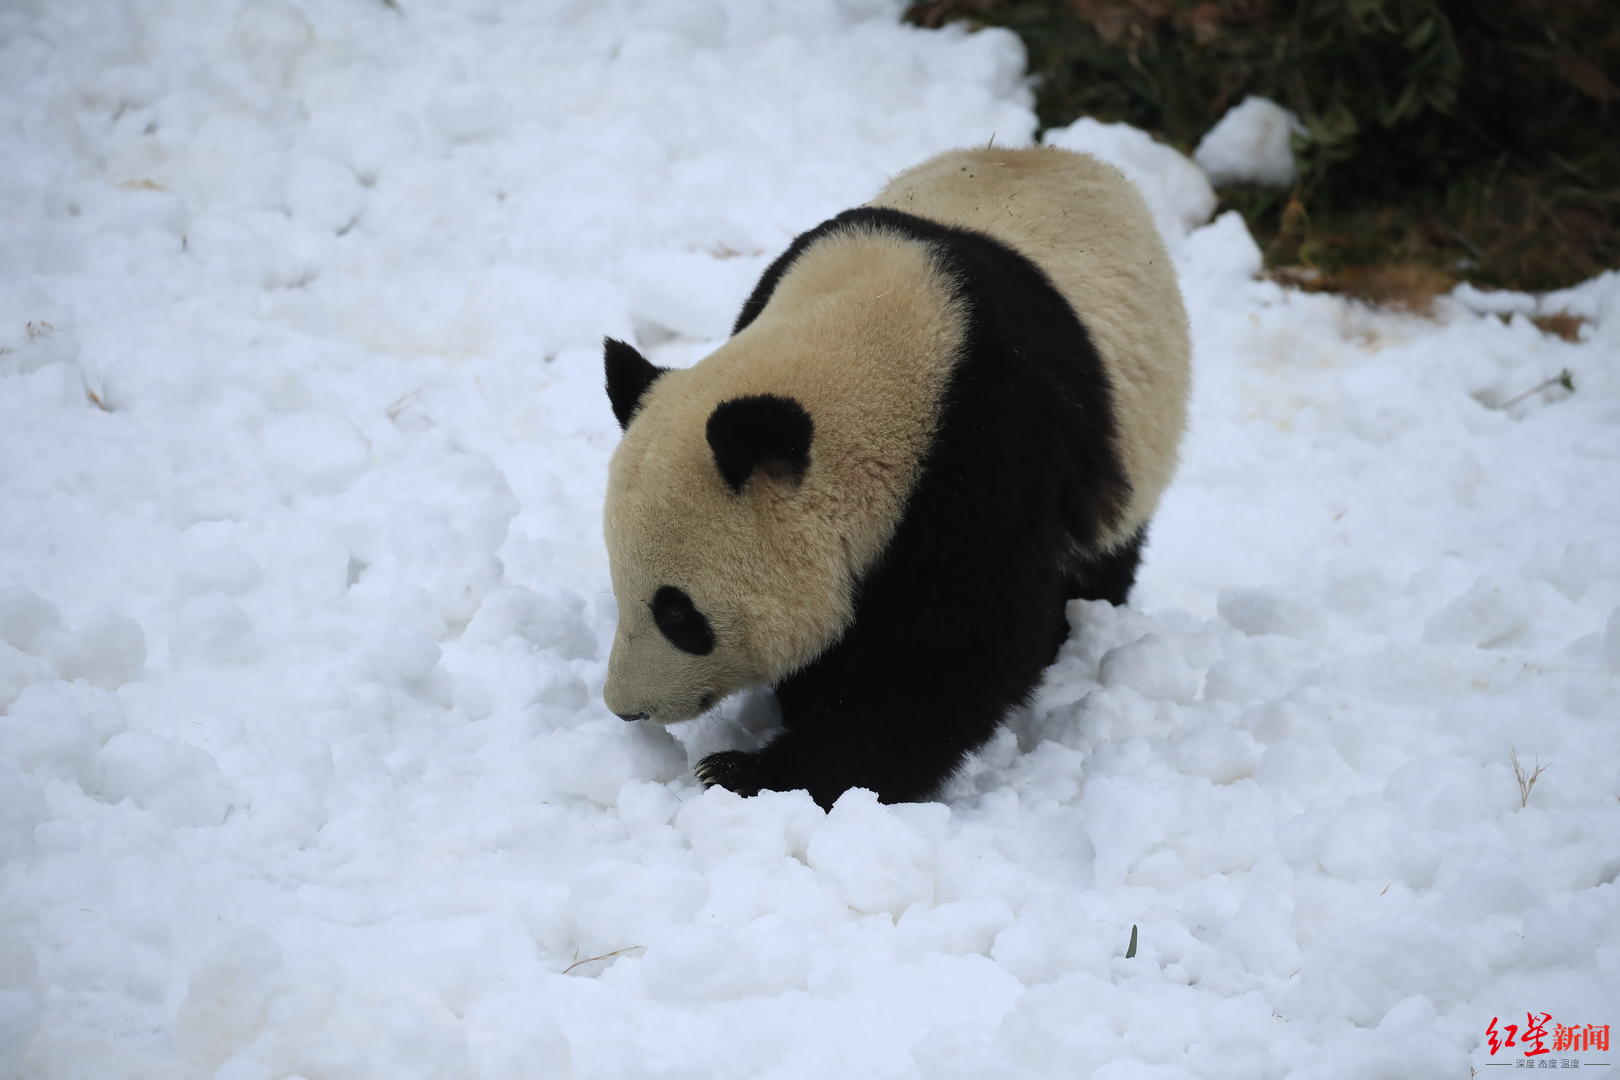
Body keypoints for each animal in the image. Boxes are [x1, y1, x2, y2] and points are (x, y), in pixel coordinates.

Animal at [596, 148, 1192, 806]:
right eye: (619, 585)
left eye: (678, 614)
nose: (626, 707)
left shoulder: (985, 453)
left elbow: (948, 653)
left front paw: (751, 771)